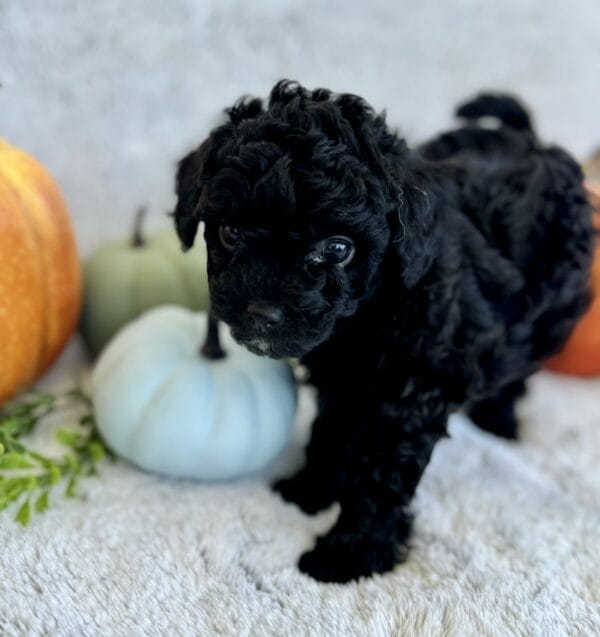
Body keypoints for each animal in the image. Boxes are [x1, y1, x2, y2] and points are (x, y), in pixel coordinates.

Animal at [171, 82, 592, 584]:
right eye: (231, 232)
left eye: (338, 248)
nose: (262, 311)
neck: (368, 313)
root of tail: (533, 141)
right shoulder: (339, 379)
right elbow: (331, 430)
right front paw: (310, 489)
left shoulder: (409, 399)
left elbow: (379, 476)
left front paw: (350, 552)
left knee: (516, 365)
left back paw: (500, 419)